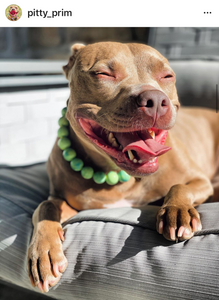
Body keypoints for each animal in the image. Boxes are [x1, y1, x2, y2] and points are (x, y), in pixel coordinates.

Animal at [27, 41, 219, 292]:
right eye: (103, 74)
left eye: (167, 76)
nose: (155, 100)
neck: (117, 175)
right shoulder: (67, 202)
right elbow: (45, 205)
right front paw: (44, 253)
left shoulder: (199, 180)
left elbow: (180, 186)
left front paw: (177, 212)